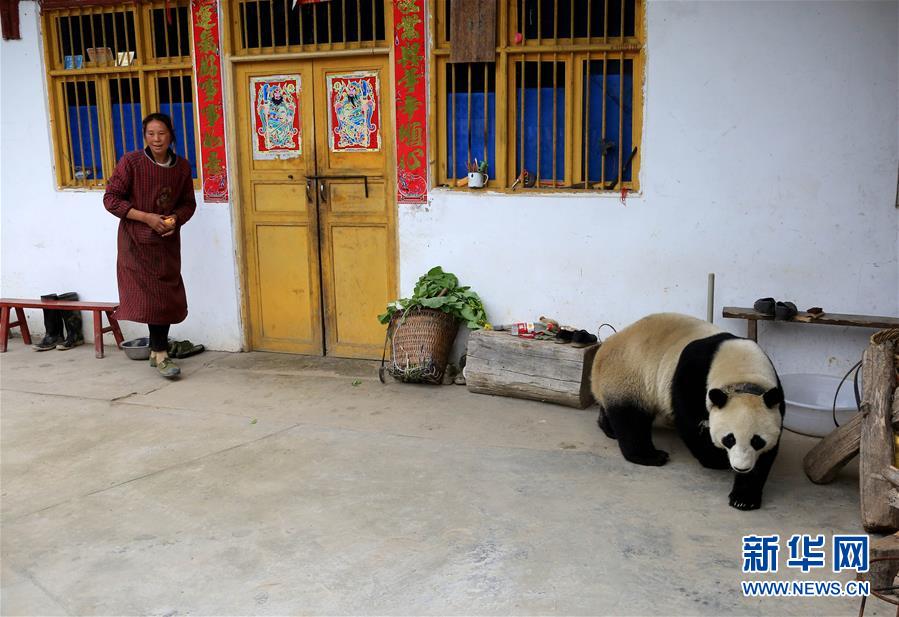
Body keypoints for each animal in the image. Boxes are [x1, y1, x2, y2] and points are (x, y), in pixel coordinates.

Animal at [588, 312, 784, 510]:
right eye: (729, 439)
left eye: (757, 441)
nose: (741, 467)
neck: (742, 371)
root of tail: (607, 344)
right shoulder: (693, 374)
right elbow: (689, 421)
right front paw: (715, 459)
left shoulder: (774, 399)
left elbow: (767, 453)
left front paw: (743, 498)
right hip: (629, 375)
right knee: (631, 419)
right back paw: (651, 456)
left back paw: (608, 428)